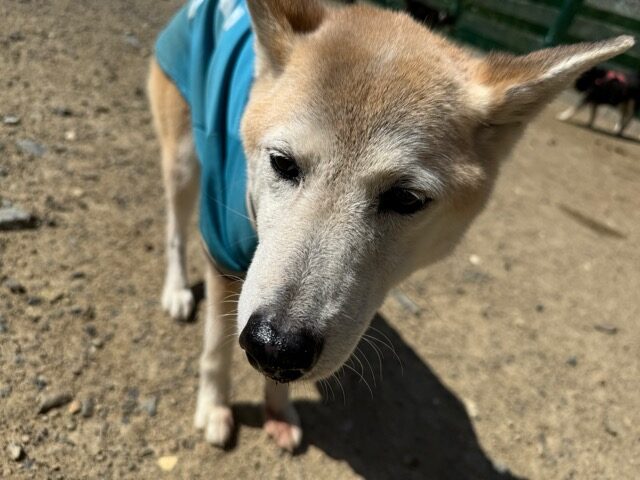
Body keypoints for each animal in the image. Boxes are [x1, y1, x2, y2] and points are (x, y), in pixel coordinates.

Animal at [148, 0, 633, 451]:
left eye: (406, 199)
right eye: (283, 163)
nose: (274, 345)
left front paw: (279, 409)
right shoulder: (222, 252)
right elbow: (216, 348)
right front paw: (214, 409)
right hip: (184, 161)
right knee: (174, 230)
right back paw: (175, 291)